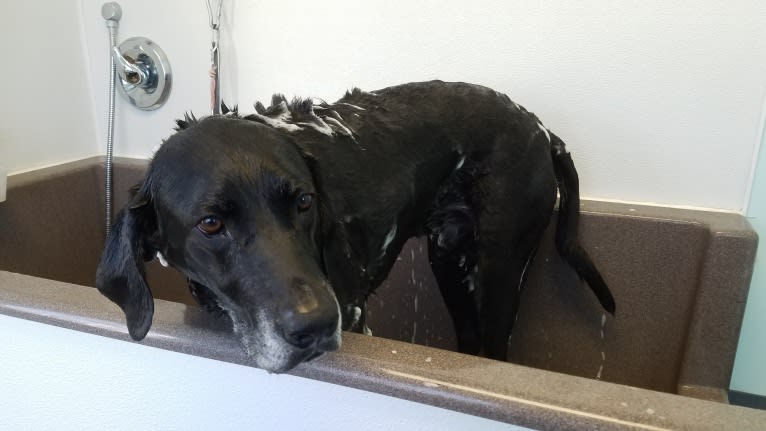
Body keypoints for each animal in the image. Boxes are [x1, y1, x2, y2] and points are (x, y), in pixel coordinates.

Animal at [96, 82, 616, 374]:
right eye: (210, 223)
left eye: (304, 201)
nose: (317, 326)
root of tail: (542, 131)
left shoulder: (356, 313)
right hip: (451, 262)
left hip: (497, 274)